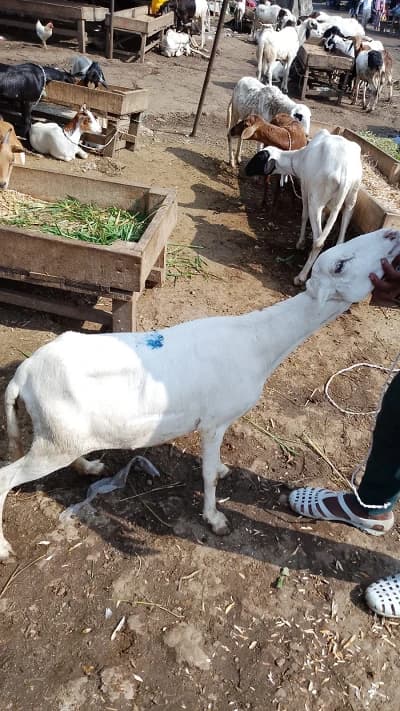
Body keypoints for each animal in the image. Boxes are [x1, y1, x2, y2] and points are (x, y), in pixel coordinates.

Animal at [0, 229, 398, 559]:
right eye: (340, 264)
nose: (392, 233)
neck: (258, 342)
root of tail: (24, 372)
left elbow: (213, 466)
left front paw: (221, 470)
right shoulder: (214, 421)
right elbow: (207, 475)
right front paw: (215, 518)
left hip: (60, 435)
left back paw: (90, 466)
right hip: (54, 438)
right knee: (6, 478)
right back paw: (4, 548)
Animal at [245, 130, 362, 285]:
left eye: (258, 158)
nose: (246, 170)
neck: (300, 158)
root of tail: (345, 173)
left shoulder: (305, 189)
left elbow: (303, 216)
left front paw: (300, 243)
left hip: (316, 201)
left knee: (319, 242)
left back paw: (301, 276)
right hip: (351, 199)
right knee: (339, 238)